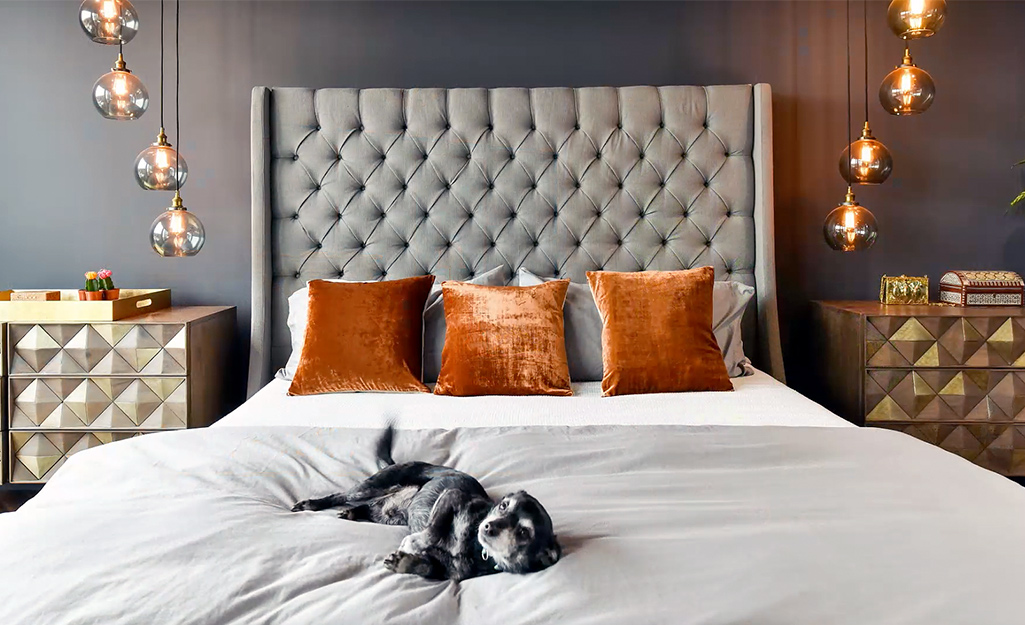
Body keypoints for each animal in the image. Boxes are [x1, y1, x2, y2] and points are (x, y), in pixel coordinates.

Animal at [289, 424, 561, 577]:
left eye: (524, 532)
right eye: (503, 506)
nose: (488, 527)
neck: (474, 547)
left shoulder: (449, 572)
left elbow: (428, 567)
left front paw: (404, 563)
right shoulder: (451, 497)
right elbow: (432, 530)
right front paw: (414, 543)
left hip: (392, 516)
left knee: (371, 508)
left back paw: (353, 513)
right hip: (369, 487)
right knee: (341, 496)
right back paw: (311, 504)